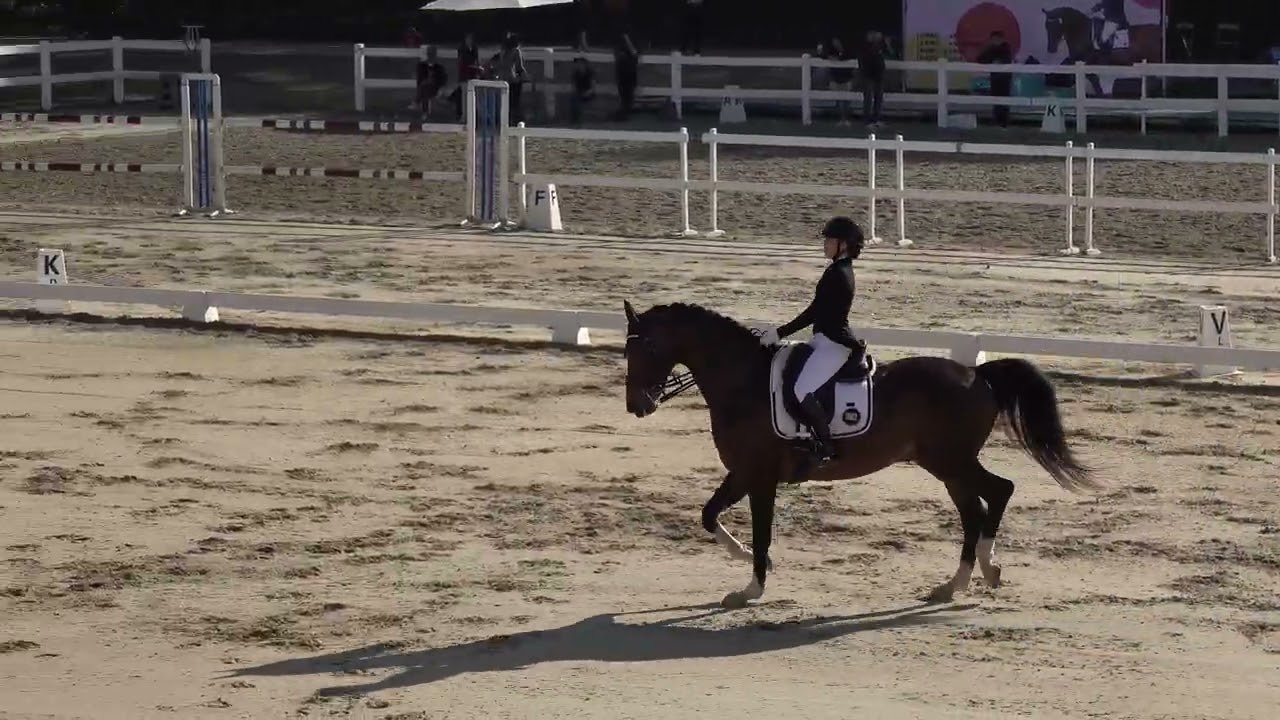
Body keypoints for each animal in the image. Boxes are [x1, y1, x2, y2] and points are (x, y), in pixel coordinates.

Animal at [622, 300, 1097, 609]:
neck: (743, 382)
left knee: (999, 492)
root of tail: (976, 374)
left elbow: (761, 532)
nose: (637, 406)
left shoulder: (760, 477)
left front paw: (751, 589)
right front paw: (748, 563)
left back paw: (987, 567)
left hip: (951, 461)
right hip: (946, 467)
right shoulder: (742, 472)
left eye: (646, 348)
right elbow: (708, 515)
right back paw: (954, 584)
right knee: (973, 511)